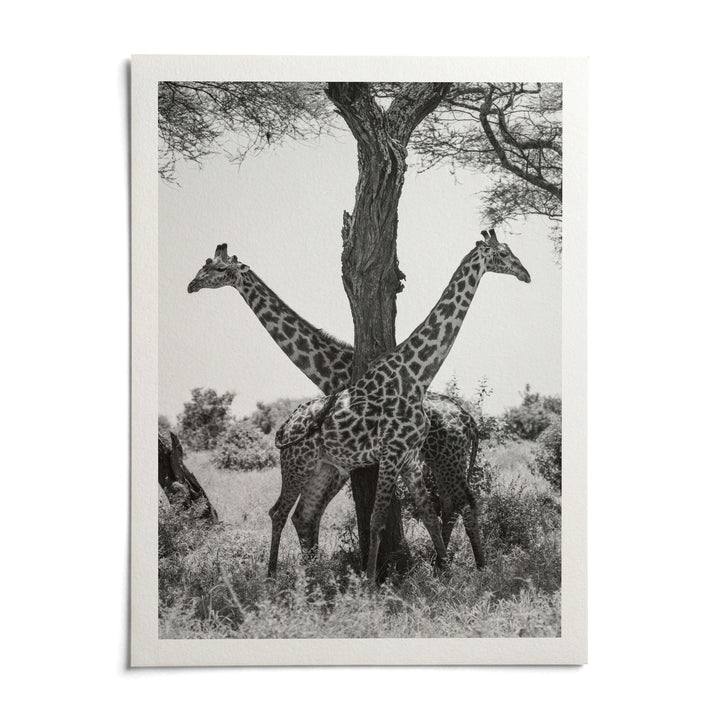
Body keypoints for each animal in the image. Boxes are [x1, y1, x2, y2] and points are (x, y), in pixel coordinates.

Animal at [188, 244, 483, 566]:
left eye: (219, 269)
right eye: (204, 264)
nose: (192, 285)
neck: (330, 366)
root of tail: (467, 418)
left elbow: (313, 514)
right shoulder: (339, 459)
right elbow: (309, 515)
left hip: (446, 458)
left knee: (461, 502)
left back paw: (467, 563)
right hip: (446, 460)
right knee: (453, 503)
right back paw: (451, 561)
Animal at [273, 229, 530, 581]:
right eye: (502, 254)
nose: (526, 274)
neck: (416, 377)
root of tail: (286, 425)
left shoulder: (407, 458)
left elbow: (427, 514)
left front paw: (446, 574)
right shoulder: (391, 453)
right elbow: (377, 519)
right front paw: (370, 582)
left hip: (322, 467)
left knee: (302, 514)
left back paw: (310, 578)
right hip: (296, 464)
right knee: (278, 512)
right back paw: (272, 577)